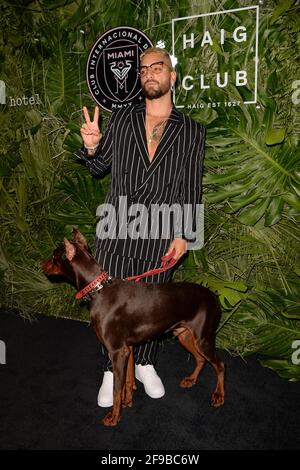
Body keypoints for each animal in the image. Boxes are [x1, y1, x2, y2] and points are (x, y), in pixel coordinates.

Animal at [42, 228, 225, 426]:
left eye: (54, 257)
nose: (41, 265)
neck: (99, 290)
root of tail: (214, 297)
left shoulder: (117, 351)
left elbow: (116, 389)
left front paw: (114, 417)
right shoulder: (127, 348)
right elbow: (128, 381)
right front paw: (127, 401)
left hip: (203, 339)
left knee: (220, 365)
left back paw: (219, 396)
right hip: (184, 335)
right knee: (200, 359)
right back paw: (191, 380)